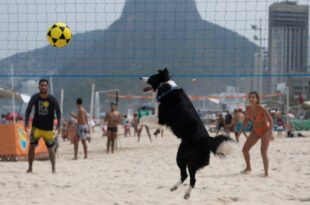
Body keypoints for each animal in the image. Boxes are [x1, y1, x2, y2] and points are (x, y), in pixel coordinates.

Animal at [139, 68, 234, 199]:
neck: (167, 89)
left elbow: (142, 119)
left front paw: (139, 126)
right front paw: (156, 132)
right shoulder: (161, 121)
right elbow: (158, 126)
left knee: (188, 176)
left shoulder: (160, 118)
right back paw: (178, 189)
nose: (140, 77)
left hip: (183, 157)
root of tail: (207, 140)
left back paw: (184, 192)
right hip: (190, 161)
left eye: (152, 77)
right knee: (189, 177)